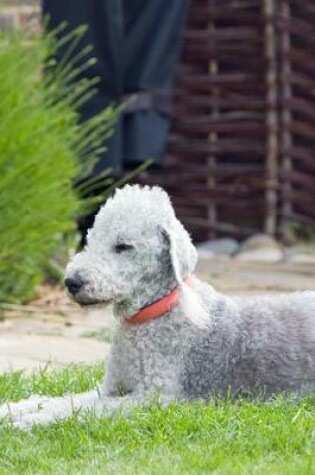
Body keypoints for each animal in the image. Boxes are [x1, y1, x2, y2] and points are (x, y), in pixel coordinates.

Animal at [0, 187, 315, 432]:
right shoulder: (111, 388)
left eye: (123, 246)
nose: (72, 282)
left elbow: (81, 410)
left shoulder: (152, 397)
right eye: (90, 240)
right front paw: (11, 410)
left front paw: (29, 422)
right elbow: (63, 400)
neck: (152, 313)